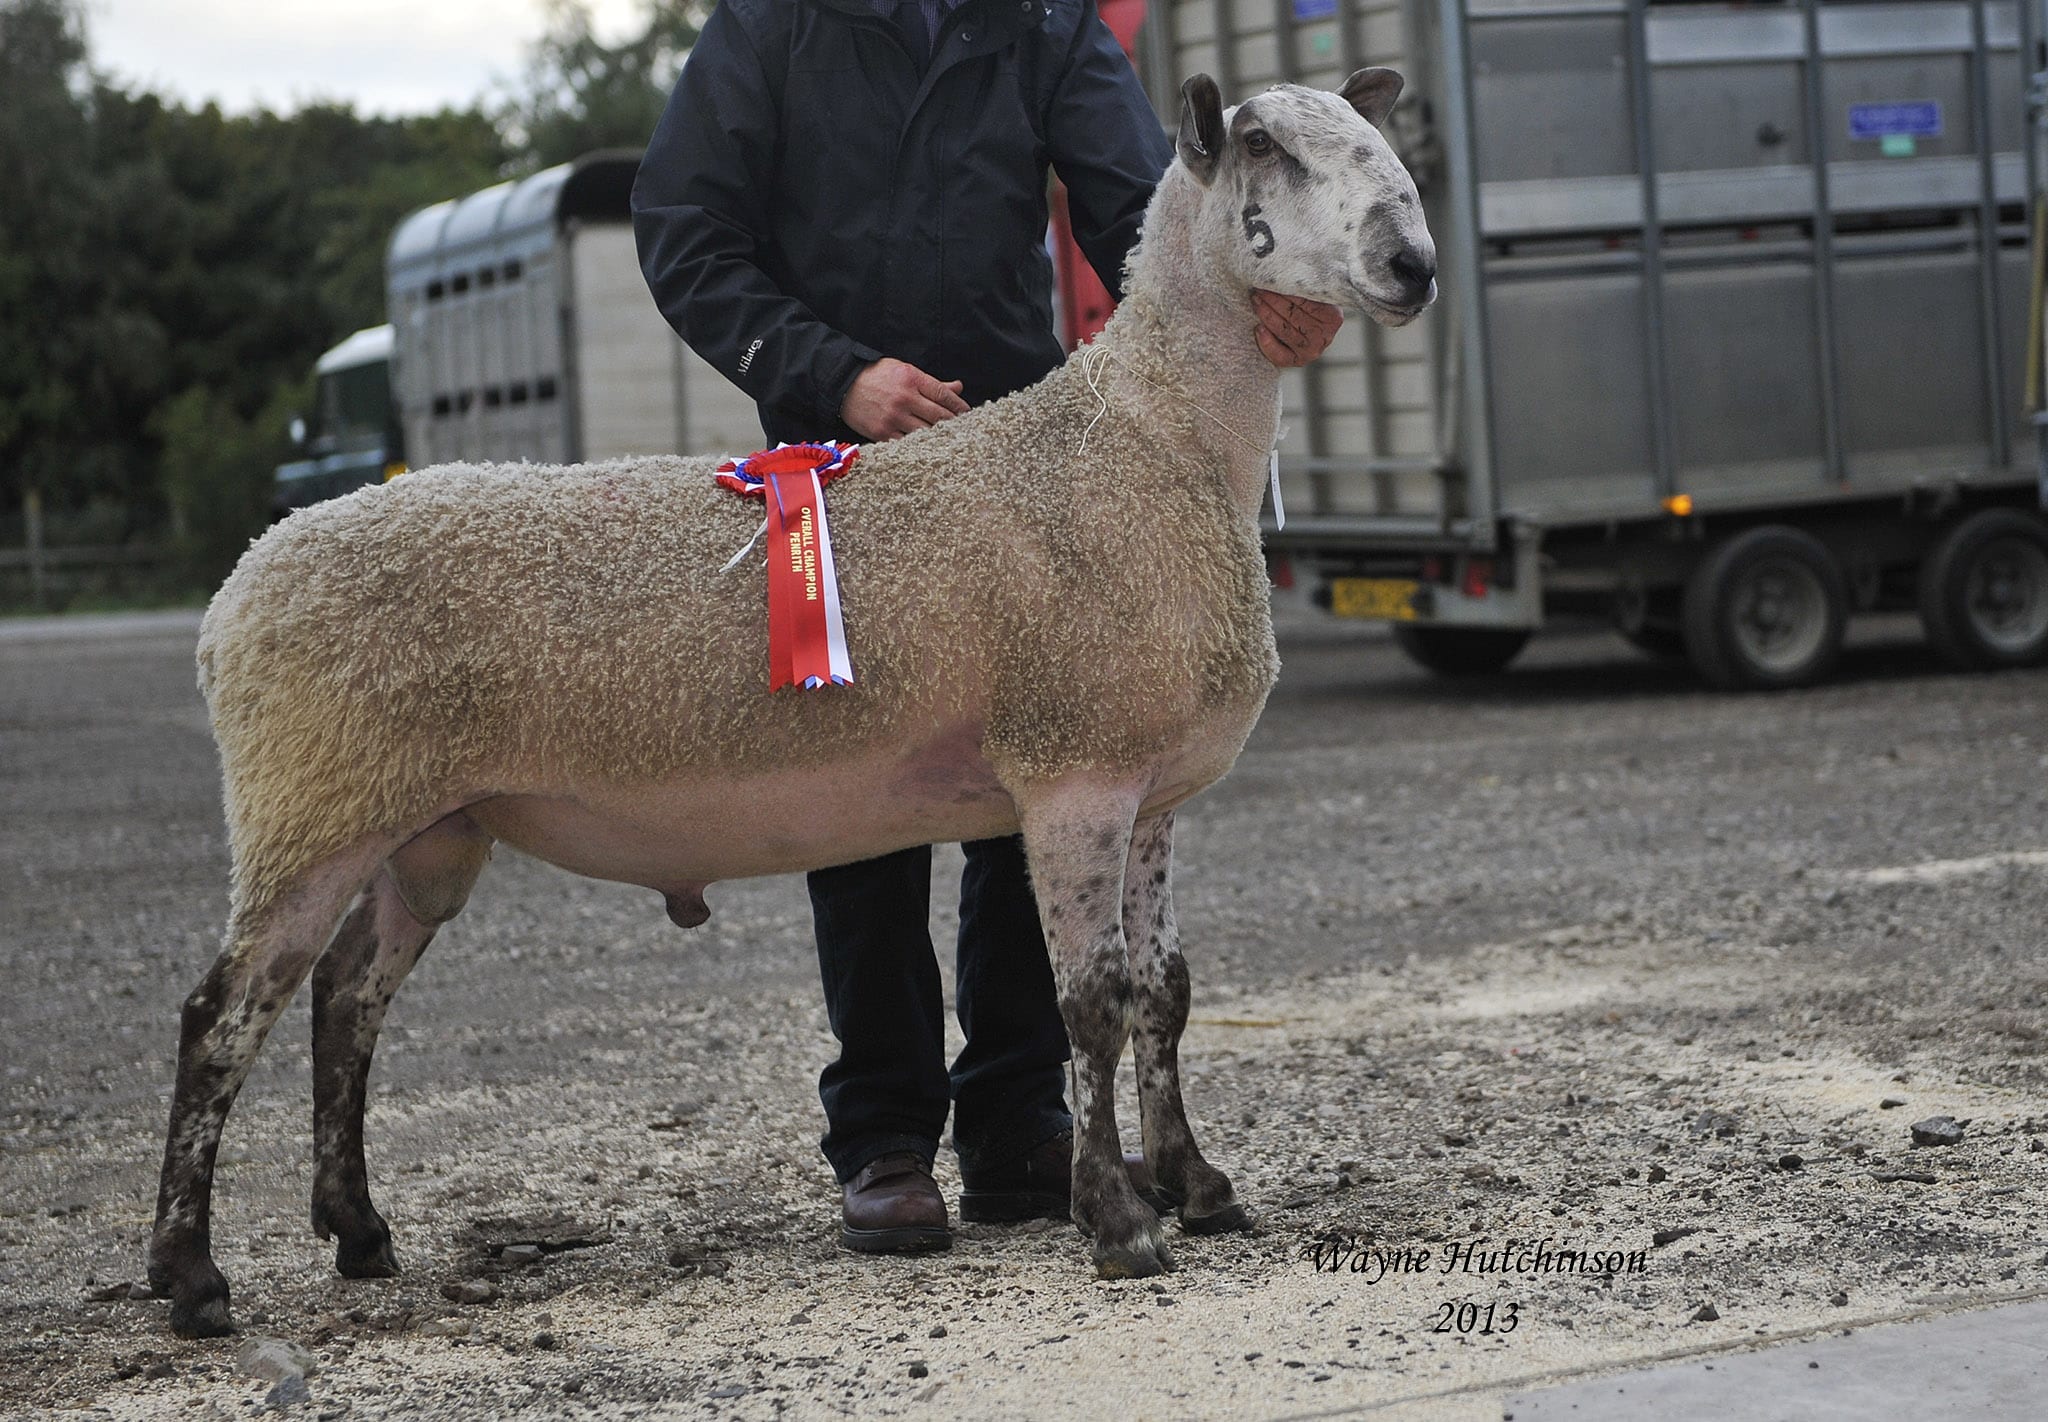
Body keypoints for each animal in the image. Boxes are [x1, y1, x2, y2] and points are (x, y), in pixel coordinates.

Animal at [144, 69, 1433, 1335]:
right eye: (1265, 148)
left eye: (1373, 135)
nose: (1411, 263)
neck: (1146, 445)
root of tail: (236, 590)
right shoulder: (1075, 771)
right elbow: (1095, 1006)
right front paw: (1117, 1224)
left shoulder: (1154, 790)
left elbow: (1165, 996)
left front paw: (1197, 1186)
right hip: (308, 804)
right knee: (222, 1015)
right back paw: (190, 1277)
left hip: (424, 830)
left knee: (342, 1000)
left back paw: (357, 1232)